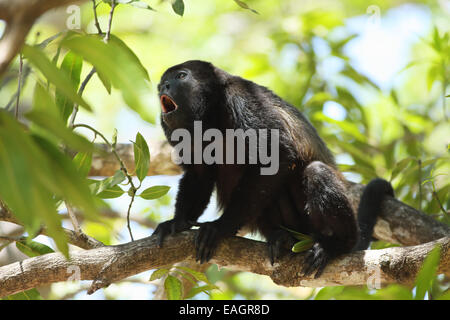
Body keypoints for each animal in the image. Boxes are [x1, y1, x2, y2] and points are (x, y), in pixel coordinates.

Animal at [152, 60, 394, 278]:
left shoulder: (242, 98)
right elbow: (199, 176)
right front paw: (177, 223)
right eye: (162, 84)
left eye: (181, 76)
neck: (210, 116)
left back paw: (336, 244)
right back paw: (282, 238)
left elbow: (276, 154)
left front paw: (220, 227)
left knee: (316, 172)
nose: (164, 87)